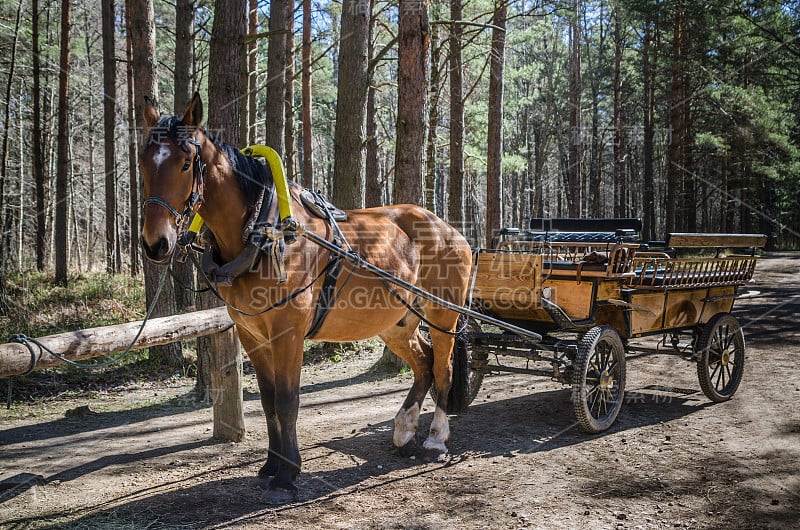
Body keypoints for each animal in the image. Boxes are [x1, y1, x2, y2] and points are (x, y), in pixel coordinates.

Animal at [140, 93, 472, 492]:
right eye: (142, 161)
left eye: (187, 163)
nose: (156, 243)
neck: (262, 231)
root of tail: (448, 227)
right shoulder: (252, 333)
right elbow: (268, 400)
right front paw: (271, 463)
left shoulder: (288, 331)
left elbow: (287, 400)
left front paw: (288, 471)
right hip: (398, 321)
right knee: (423, 363)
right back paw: (405, 430)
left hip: (442, 315)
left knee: (442, 367)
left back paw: (436, 438)